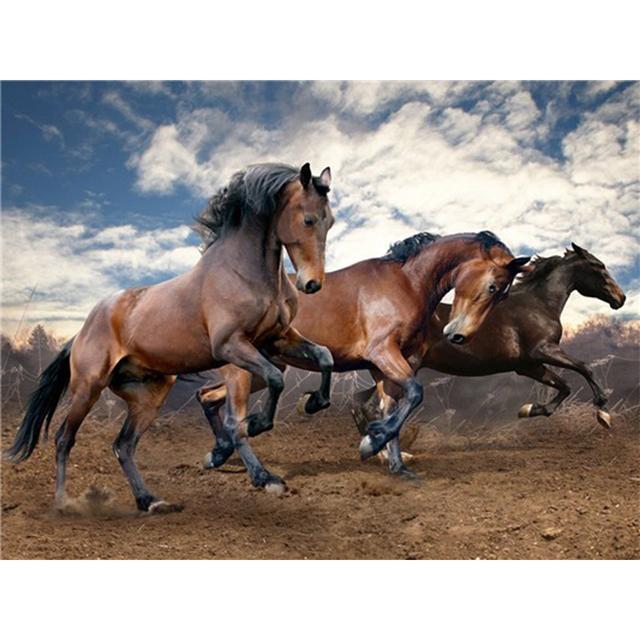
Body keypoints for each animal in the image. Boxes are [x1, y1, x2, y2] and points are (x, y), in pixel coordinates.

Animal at [5, 162, 334, 512]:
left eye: (330, 221)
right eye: (308, 219)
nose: (312, 284)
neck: (245, 272)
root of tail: (80, 333)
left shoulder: (278, 339)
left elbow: (323, 356)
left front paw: (313, 402)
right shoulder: (231, 346)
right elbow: (271, 382)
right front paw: (259, 441)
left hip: (149, 395)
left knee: (123, 445)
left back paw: (149, 500)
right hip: (88, 388)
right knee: (64, 439)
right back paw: (63, 502)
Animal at [195, 230, 531, 484]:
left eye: (501, 294)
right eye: (493, 287)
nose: (459, 335)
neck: (406, 283)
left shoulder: (383, 367)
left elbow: (392, 408)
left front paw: (397, 466)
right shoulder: (383, 353)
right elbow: (414, 393)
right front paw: (371, 443)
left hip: (262, 370)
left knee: (207, 396)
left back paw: (217, 454)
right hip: (244, 370)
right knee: (233, 419)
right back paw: (259, 473)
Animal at [351, 243, 627, 475]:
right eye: (598, 266)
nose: (620, 298)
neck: (538, 304)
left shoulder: (528, 365)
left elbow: (564, 386)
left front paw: (529, 410)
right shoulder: (542, 350)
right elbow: (584, 368)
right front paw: (603, 413)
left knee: (359, 402)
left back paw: (381, 453)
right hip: (406, 367)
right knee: (373, 406)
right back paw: (390, 455)